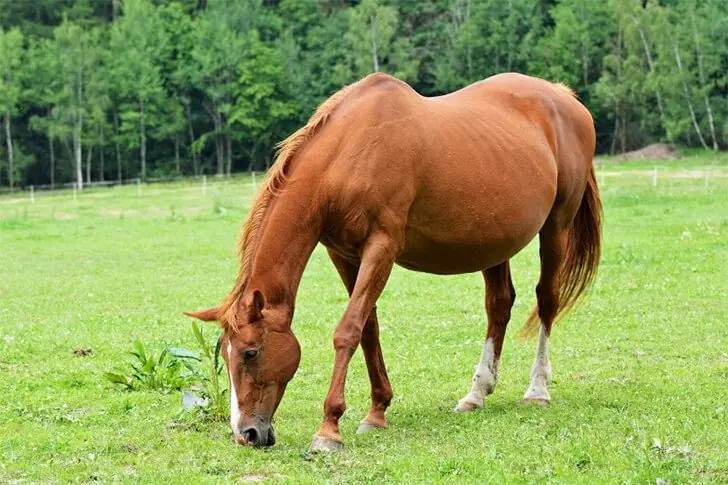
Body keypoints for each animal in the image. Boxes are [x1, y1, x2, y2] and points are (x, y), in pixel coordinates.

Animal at [185, 72, 601, 452]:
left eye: (251, 353)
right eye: (224, 353)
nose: (246, 434)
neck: (349, 153)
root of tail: (563, 97)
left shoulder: (381, 245)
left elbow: (348, 329)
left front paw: (328, 429)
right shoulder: (343, 253)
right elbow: (368, 328)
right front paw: (377, 412)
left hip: (556, 227)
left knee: (546, 300)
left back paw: (538, 389)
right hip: (495, 242)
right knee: (499, 306)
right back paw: (476, 394)